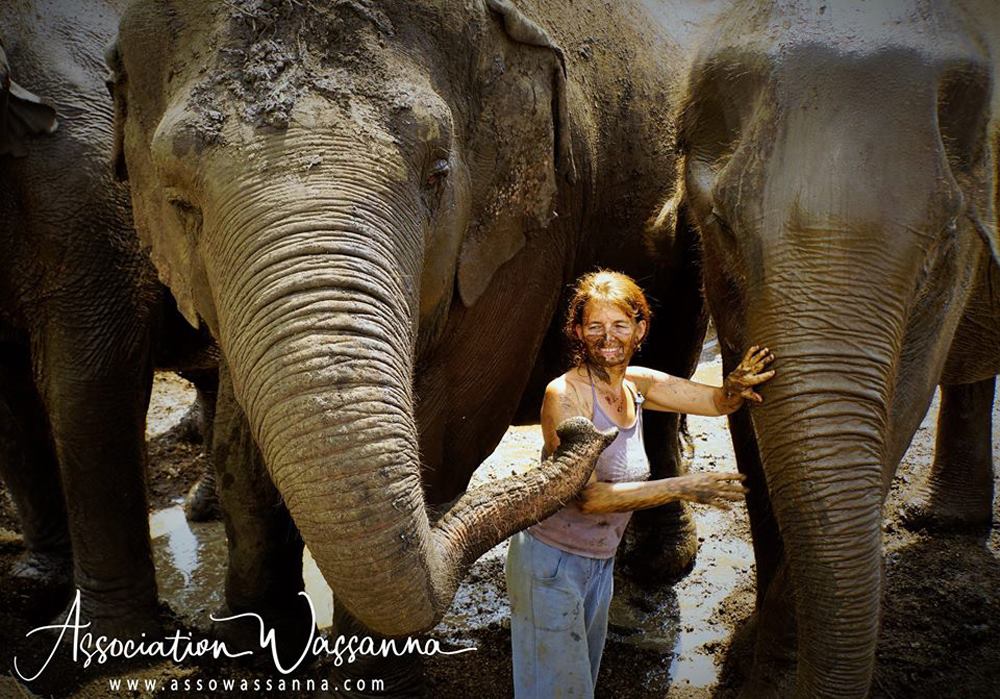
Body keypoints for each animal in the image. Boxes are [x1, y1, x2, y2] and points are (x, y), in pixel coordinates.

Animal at [108, 0, 712, 653]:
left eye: (438, 172)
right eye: (179, 201)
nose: (578, 430)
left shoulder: (530, 234)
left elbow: (451, 430)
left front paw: (370, 658)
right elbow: (238, 445)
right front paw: (250, 643)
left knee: (668, 379)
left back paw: (658, 563)